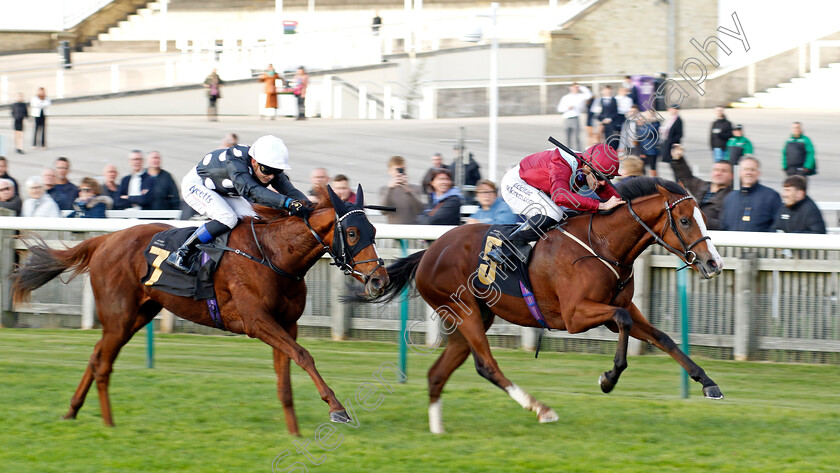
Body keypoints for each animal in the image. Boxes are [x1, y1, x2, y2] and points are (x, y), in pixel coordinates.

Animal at [13, 183, 388, 434]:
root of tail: (104, 240)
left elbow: (286, 375)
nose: (379, 280)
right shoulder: (257, 322)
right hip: (120, 316)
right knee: (104, 363)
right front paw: (338, 409)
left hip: (137, 315)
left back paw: (72, 411)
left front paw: (294, 431)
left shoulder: (286, 323)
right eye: (352, 233)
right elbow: (304, 355)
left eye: (373, 229)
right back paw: (108, 423)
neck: (274, 254)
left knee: (96, 354)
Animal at [354, 176, 720, 432]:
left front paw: (709, 384)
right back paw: (541, 409)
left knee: (437, 374)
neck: (602, 244)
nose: (713, 263)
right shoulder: (575, 315)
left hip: (470, 318)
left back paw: (438, 429)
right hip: (463, 311)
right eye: (685, 221)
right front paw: (608, 378)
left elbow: (663, 338)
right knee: (486, 365)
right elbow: (623, 322)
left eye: (703, 217)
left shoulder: (623, 306)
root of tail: (429, 252)